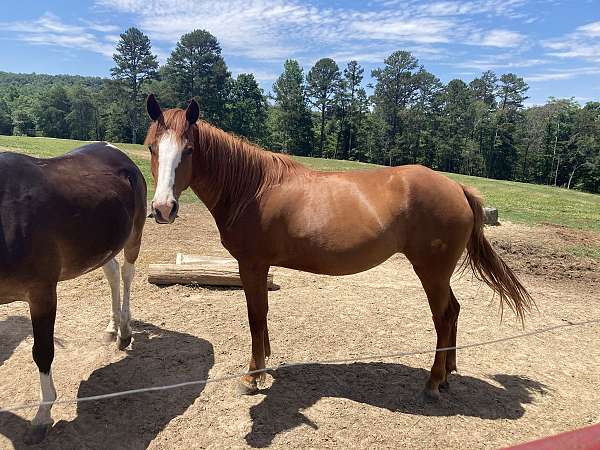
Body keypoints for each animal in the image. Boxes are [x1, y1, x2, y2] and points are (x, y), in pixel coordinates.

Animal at [0, 143, 147, 442]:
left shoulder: (42, 293)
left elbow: (43, 352)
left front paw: (42, 416)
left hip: (133, 236)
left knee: (127, 274)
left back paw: (124, 332)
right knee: (112, 272)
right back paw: (112, 327)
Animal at [145, 95, 536, 398]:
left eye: (189, 150)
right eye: (151, 146)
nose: (163, 208)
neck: (254, 189)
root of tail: (457, 187)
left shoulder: (251, 264)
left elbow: (255, 316)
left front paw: (252, 376)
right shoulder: (259, 266)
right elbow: (263, 316)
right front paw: (265, 360)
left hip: (432, 272)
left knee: (443, 316)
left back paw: (433, 382)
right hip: (439, 273)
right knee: (453, 312)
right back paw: (449, 373)